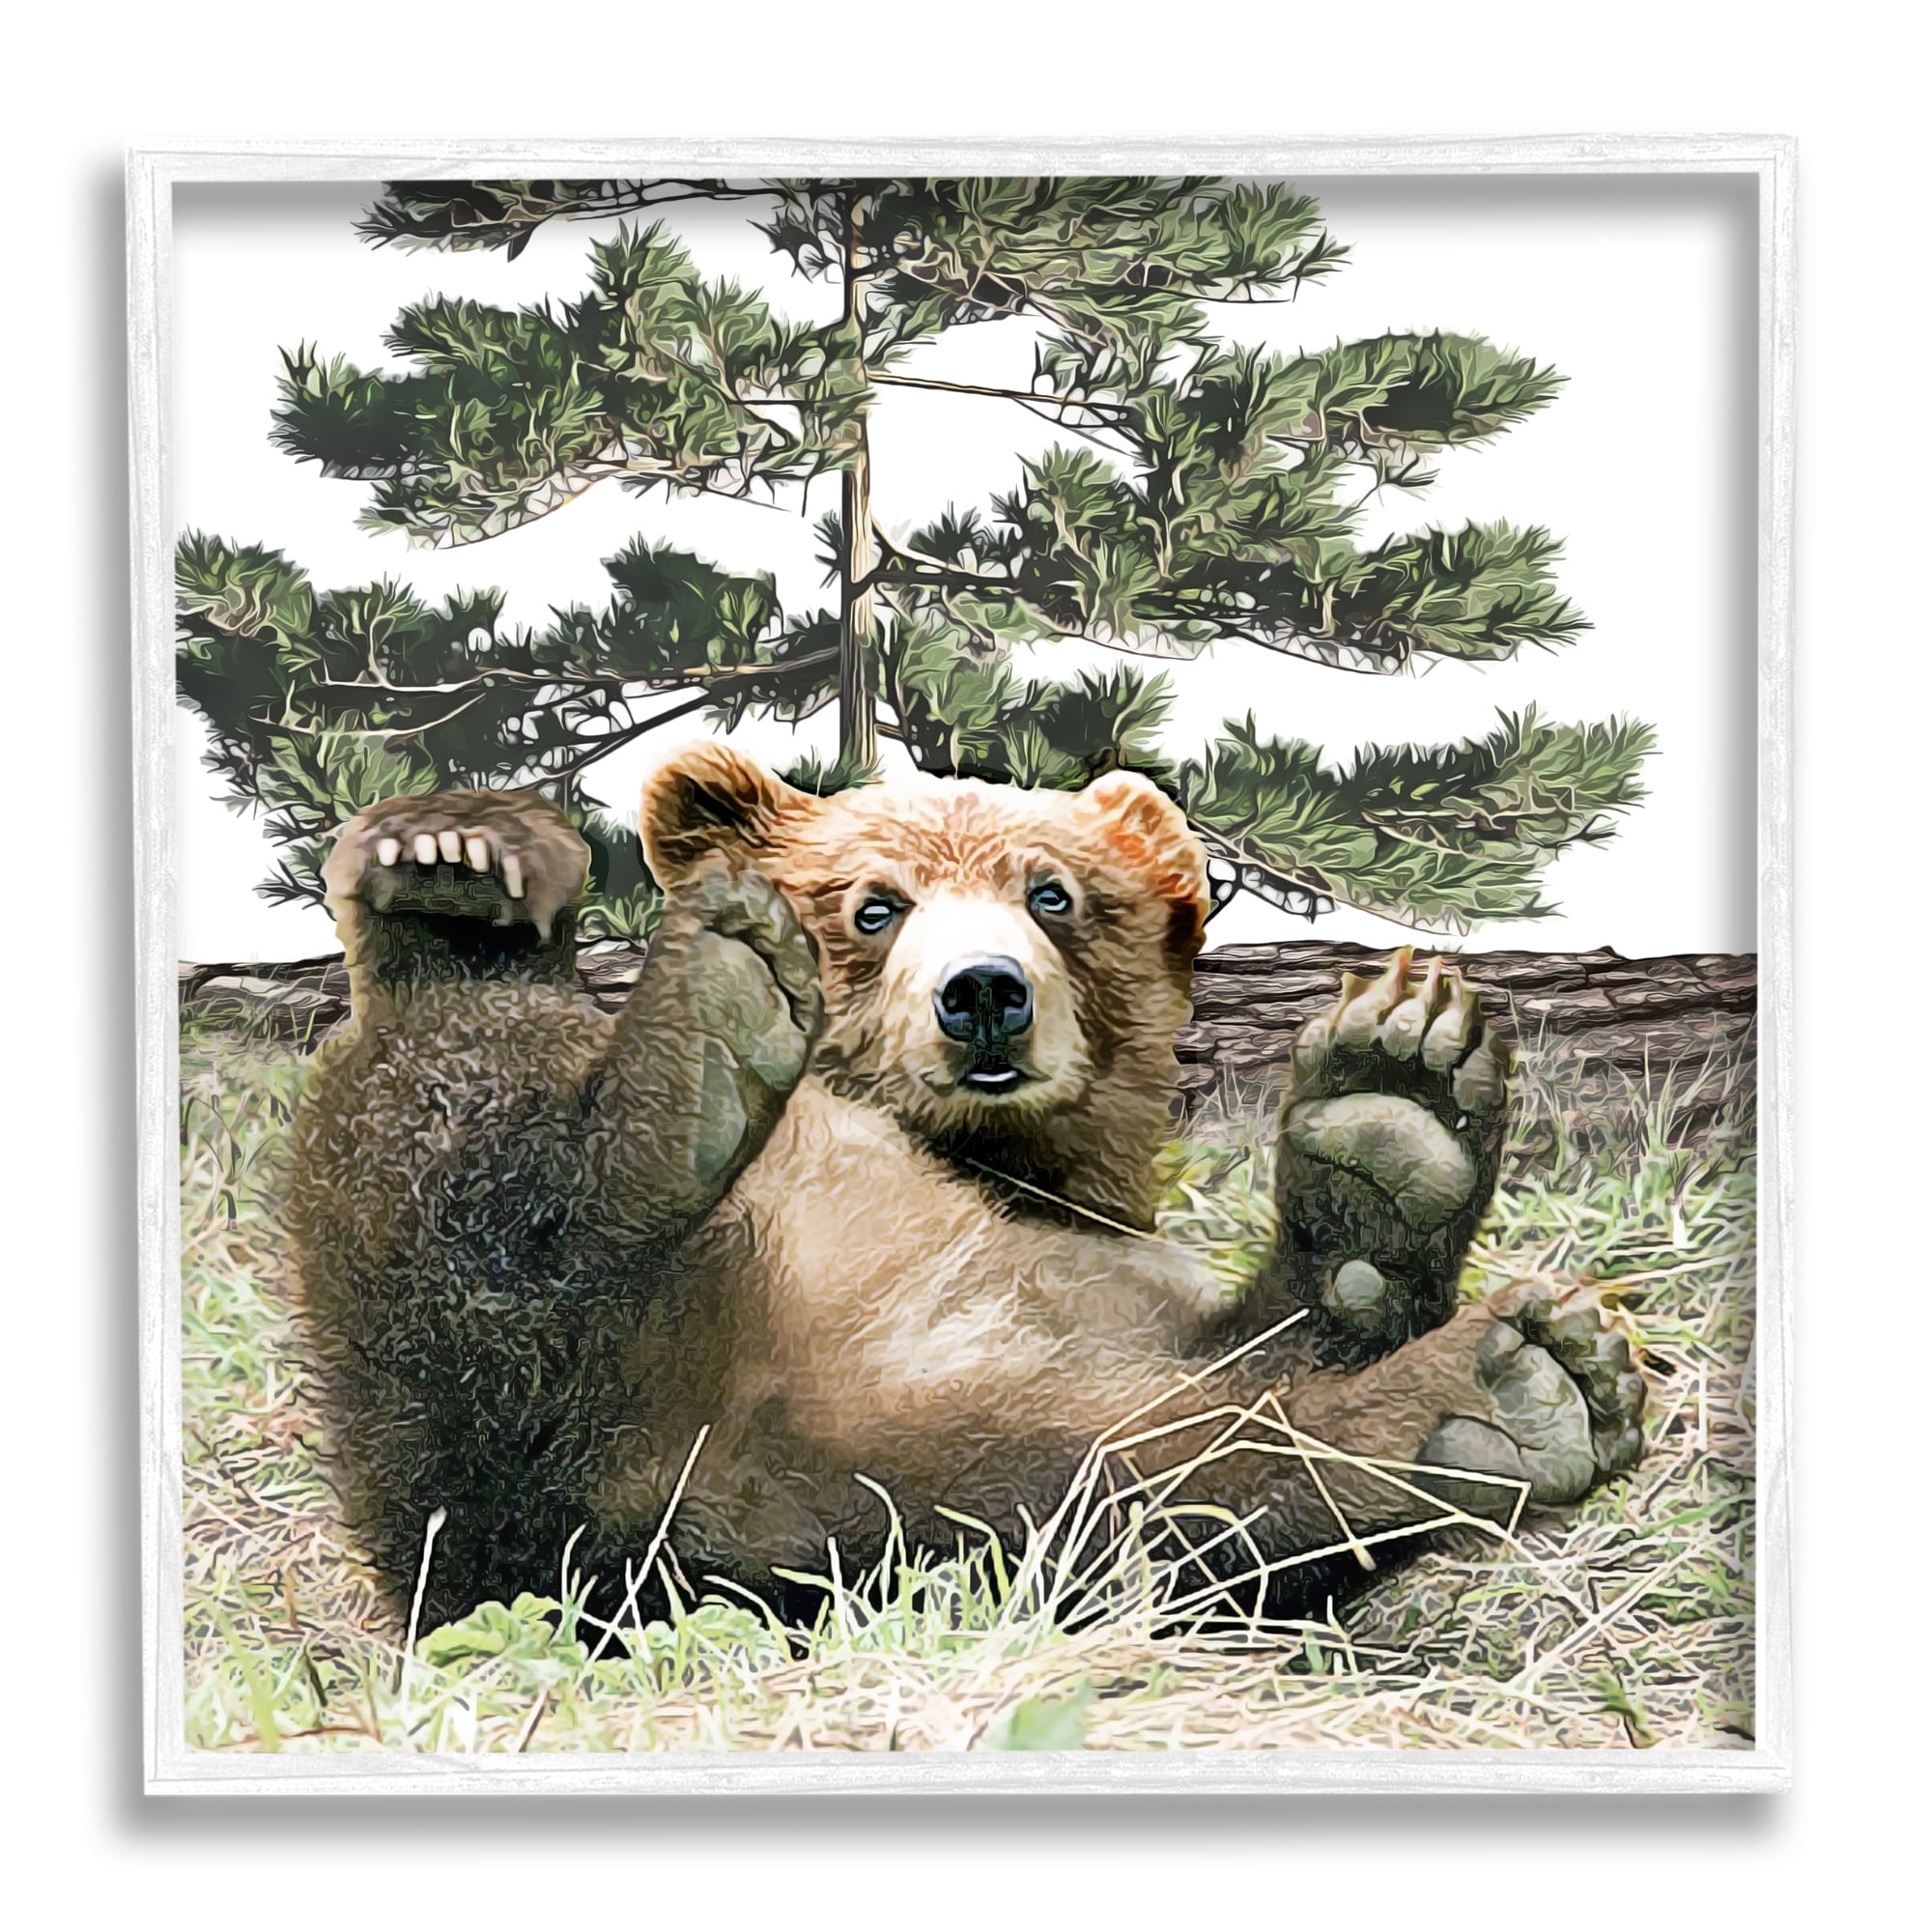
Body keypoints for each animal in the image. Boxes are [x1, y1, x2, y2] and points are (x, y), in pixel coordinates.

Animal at [287, 745, 1645, 1634]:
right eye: (873, 904)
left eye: (1052, 890)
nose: (984, 990)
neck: (987, 1161)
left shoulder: (1096, 1281)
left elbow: (1239, 1390)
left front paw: (1391, 1118)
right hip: (489, 1407)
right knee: (447, 1135)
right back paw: (498, 906)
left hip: (871, 1488)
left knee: (1142, 1492)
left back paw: (1494, 1385)